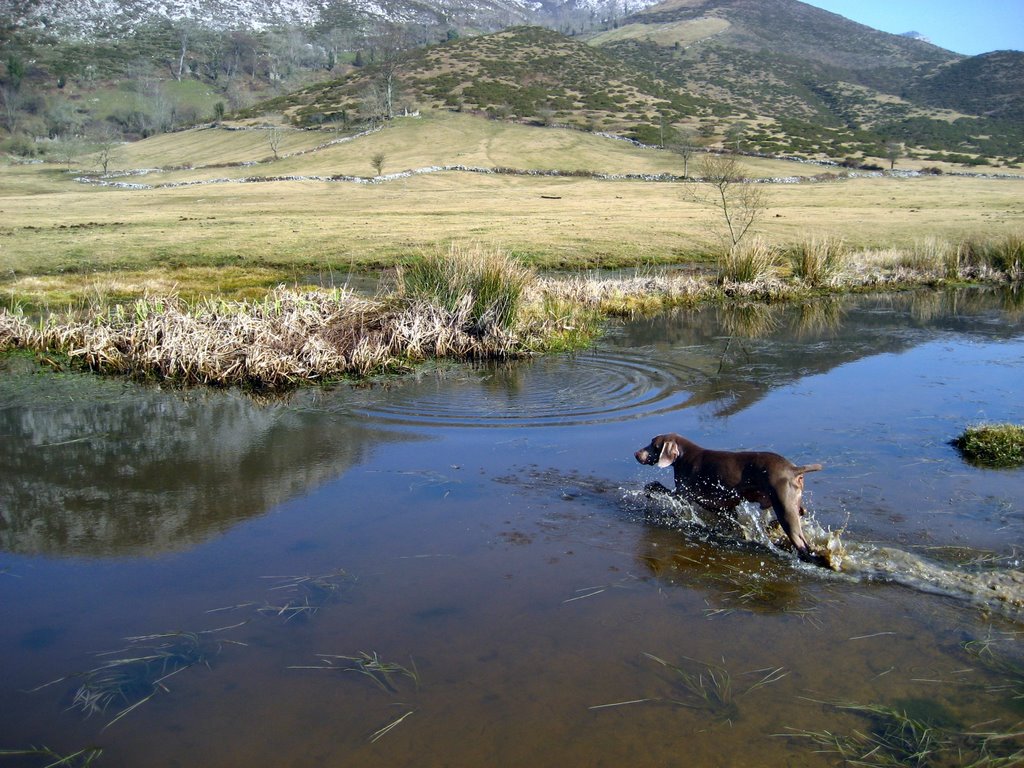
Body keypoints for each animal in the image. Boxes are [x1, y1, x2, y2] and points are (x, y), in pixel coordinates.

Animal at [634, 434, 819, 561]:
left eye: (654, 445)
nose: (636, 453)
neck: (683, 456)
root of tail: (794, 470)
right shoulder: (720, 505)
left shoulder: (682, 494)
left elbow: (656, 486)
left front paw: (649, 491)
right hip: (789, 502)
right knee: (802, 511)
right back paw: (772, 526)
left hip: (784, 507)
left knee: (802, 543)